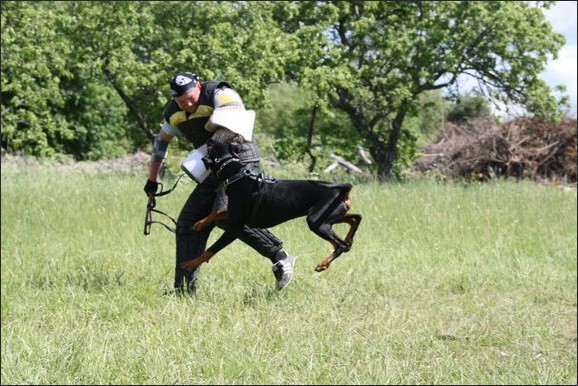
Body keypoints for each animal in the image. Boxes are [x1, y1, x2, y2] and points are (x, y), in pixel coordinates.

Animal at [180, 141, 360, 272]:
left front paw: (190, 264)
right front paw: (199, 223)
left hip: (316, 221)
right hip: (328, 216)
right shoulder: (233, 215)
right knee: (355, 219)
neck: (237, 175)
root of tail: (342, 189)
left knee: (340, 244)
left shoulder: (235, 228)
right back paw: (349, 241)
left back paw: (323, 264)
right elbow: (218, 212)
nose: (208, 141)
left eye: (211, 146)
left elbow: (211, 249)